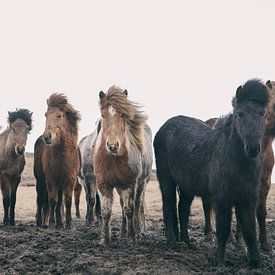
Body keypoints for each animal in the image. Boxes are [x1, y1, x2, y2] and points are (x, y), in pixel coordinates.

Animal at [34, 94, 81, 230]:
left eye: (59, 116)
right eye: (45, 115)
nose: (47, 137)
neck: (63, 156)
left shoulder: (69, 180)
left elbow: (67, 201)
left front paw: (69, 224)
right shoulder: (51, 180)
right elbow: (52, 201)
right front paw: (50, 223)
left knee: (60, 202)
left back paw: (60, 223)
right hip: (40, 181)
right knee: (40, 200)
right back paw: (40, 222)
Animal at [93, 87, 153, 246]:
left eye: (122, 115)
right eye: (103, 115)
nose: (113, 146)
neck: (113, 159)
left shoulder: (130, 184)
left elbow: (130, 209)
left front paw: (132, 238)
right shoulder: (103, 184)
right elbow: (106, 211)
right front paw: (104, 239)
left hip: (141, 184)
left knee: (136, 206)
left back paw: (138, 232)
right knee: (122, 206)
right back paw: (122, 233)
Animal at [155, 78, 270, 268]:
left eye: (262, 114)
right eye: (239, 114)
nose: (253, 148)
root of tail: (164, 126)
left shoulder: (248, 200)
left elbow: (249, 230)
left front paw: (256, 263)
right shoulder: (222, 200)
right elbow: (223, 230)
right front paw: (219, 261)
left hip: (187, 187)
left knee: (183, 209)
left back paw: (188, 243)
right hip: (166, 180)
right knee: (168, 206)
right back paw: (172, 241)